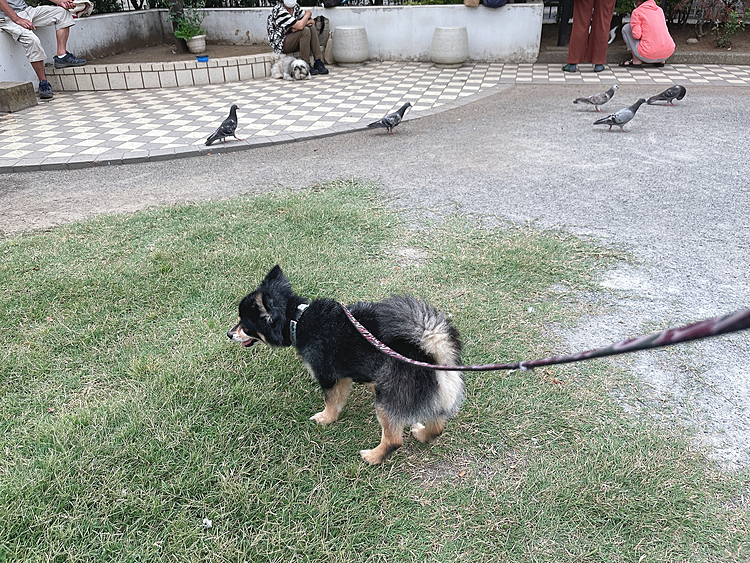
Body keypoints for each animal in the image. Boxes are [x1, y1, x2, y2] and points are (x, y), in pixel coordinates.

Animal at [226, 266, 468, 464]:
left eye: (244, 325)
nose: (229, 334)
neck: (298, 319)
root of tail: (433, 350)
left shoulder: (330, 377)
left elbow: (332, 402)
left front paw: (325, 419)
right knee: (437, 426)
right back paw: (421, 434)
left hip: (388, 399)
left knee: (393, 439)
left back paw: (372, 457)